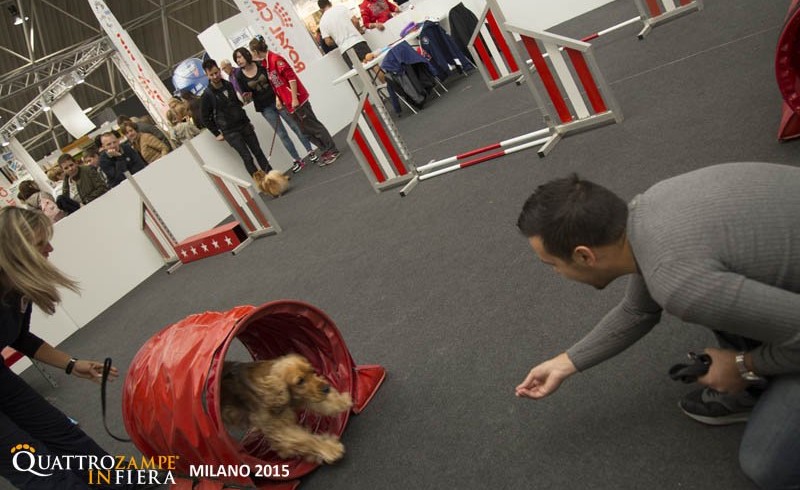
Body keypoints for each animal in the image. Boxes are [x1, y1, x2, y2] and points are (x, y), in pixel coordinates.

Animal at [222, 352, 354, 464]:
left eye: (311, 371)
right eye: (300, 381)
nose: (327, 388)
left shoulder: (300, 398)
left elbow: (320, 402)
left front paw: (341, 401)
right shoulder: (280, 430)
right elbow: (307, 440)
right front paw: (330, 449)